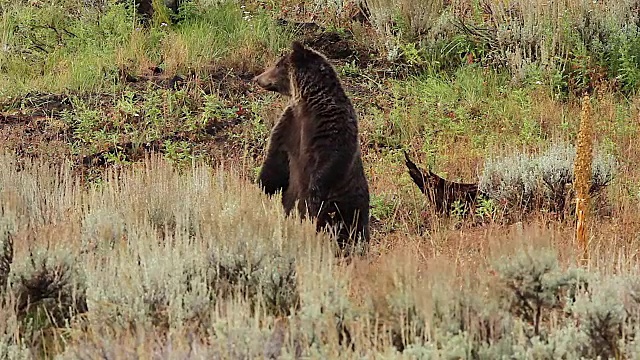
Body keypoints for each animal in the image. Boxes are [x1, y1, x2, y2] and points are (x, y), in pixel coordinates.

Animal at [251, 40, 370, 252]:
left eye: (278, 64)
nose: (258, 78)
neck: (308, 103)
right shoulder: (290, 127)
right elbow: (276, 160)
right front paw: (261, 188)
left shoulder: (329, 129)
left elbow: (328, 165)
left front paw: (309, 201)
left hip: (351, 208)